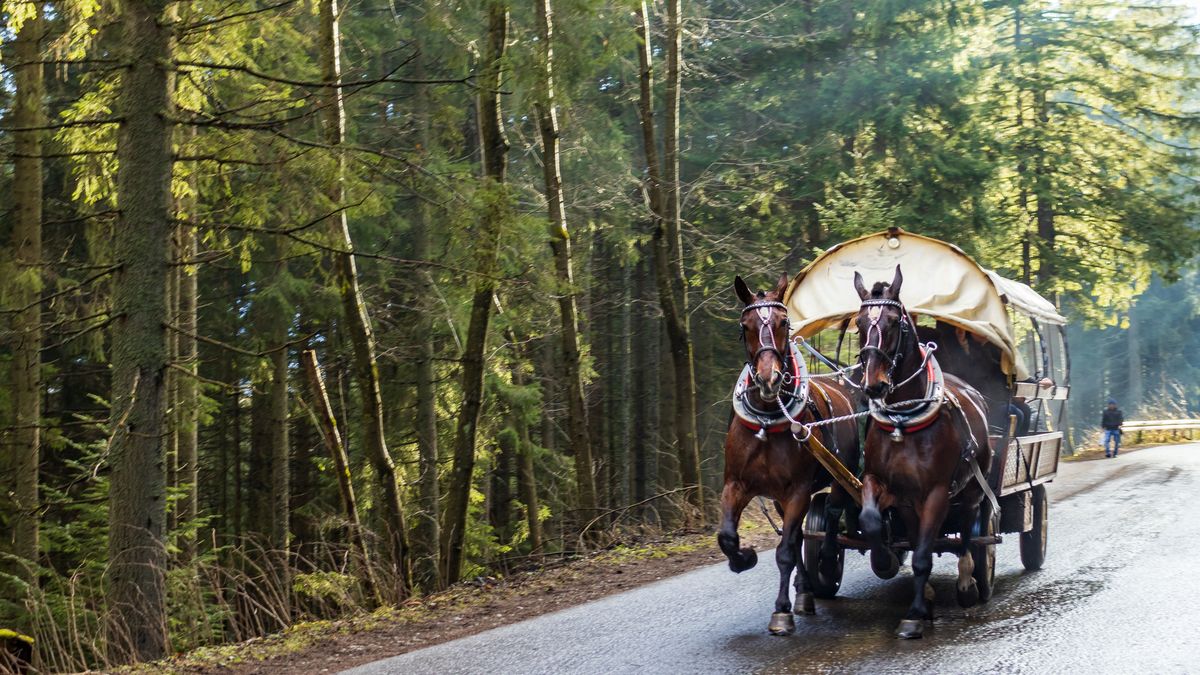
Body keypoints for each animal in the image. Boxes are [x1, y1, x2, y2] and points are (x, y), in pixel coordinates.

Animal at [717, 272, 860, 635]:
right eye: (745, 325)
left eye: (784, 322)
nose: (769, 379)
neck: (769, 419)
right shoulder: (736, 485)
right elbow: (728, 537)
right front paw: (744, 558)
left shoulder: (797, 491)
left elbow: (785, 552)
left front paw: (781, 611)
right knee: (797, 538)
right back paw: (805, 590)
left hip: (842, 474)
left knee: (833, 511)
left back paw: (826, 560)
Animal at [852, 265, 995, 639]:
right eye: (859, 323)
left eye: (893, 322)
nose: (873, 384)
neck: (903, 421)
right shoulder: (888, 487)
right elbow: (874, 522)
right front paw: (886, 561)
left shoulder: (936, 492)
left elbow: (923, 554)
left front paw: (915, 614)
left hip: (971, 489)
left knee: (968, 530)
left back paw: (967, 583)